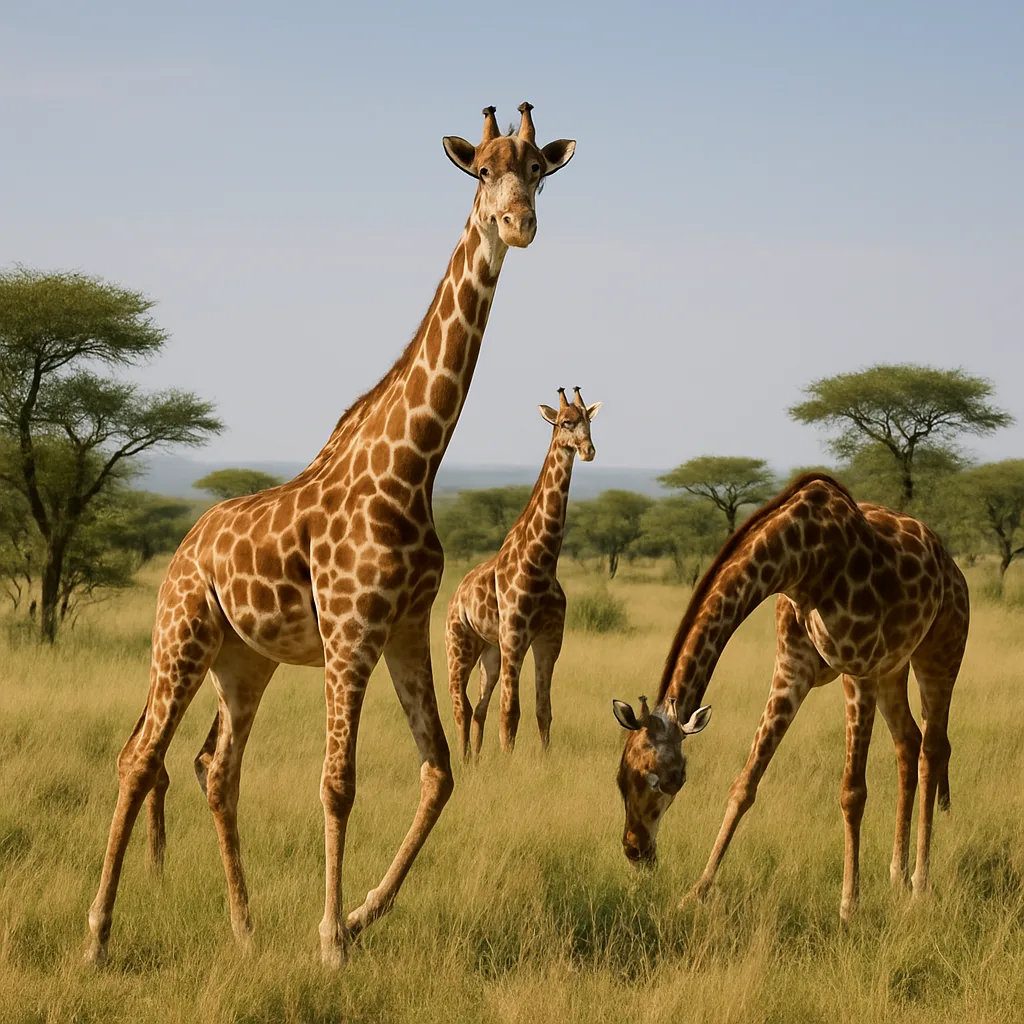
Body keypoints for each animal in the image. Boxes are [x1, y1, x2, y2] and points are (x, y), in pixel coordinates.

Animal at [85, 102, 576, 968]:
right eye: (482, 170)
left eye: (540, 172)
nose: (519, 224)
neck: (415, 465)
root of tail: (182, 547)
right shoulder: (350, 632)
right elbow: (338, 783)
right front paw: (329, 942)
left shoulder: (406, 627)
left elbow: (439, 773)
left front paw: (356, 916)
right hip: (180, 636)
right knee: (142, 757)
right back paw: (98, 936)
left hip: (243, 660)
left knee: (215, 766)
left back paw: (245, 931)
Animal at [446, 386, 601, 761]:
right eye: (565, 422)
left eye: (589, 421)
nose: (588, 450)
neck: (542, 561)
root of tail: (456, 595)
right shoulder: (516, 637)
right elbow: (510, 710)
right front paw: (507, 762)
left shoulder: (550, 638)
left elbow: (543, 709)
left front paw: (543, 761)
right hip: (458, 643)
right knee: (461, 704)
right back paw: (463, 759)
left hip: (490, 651)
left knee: (479, 706)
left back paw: (475, 760)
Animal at [612, 473, 969, 924]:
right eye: (621, 778)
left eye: (670, 778)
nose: (635, 849)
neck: (801, 558)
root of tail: (951, 565)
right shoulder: (791, 669)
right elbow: (745, 783)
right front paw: (694, 894)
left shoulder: (858, 668)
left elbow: (853, 792)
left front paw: (849, 907)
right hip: (894, 666)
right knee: (909, 743)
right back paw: (898, 877)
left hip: (940, 652)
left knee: (933, 748)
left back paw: (920, 886)